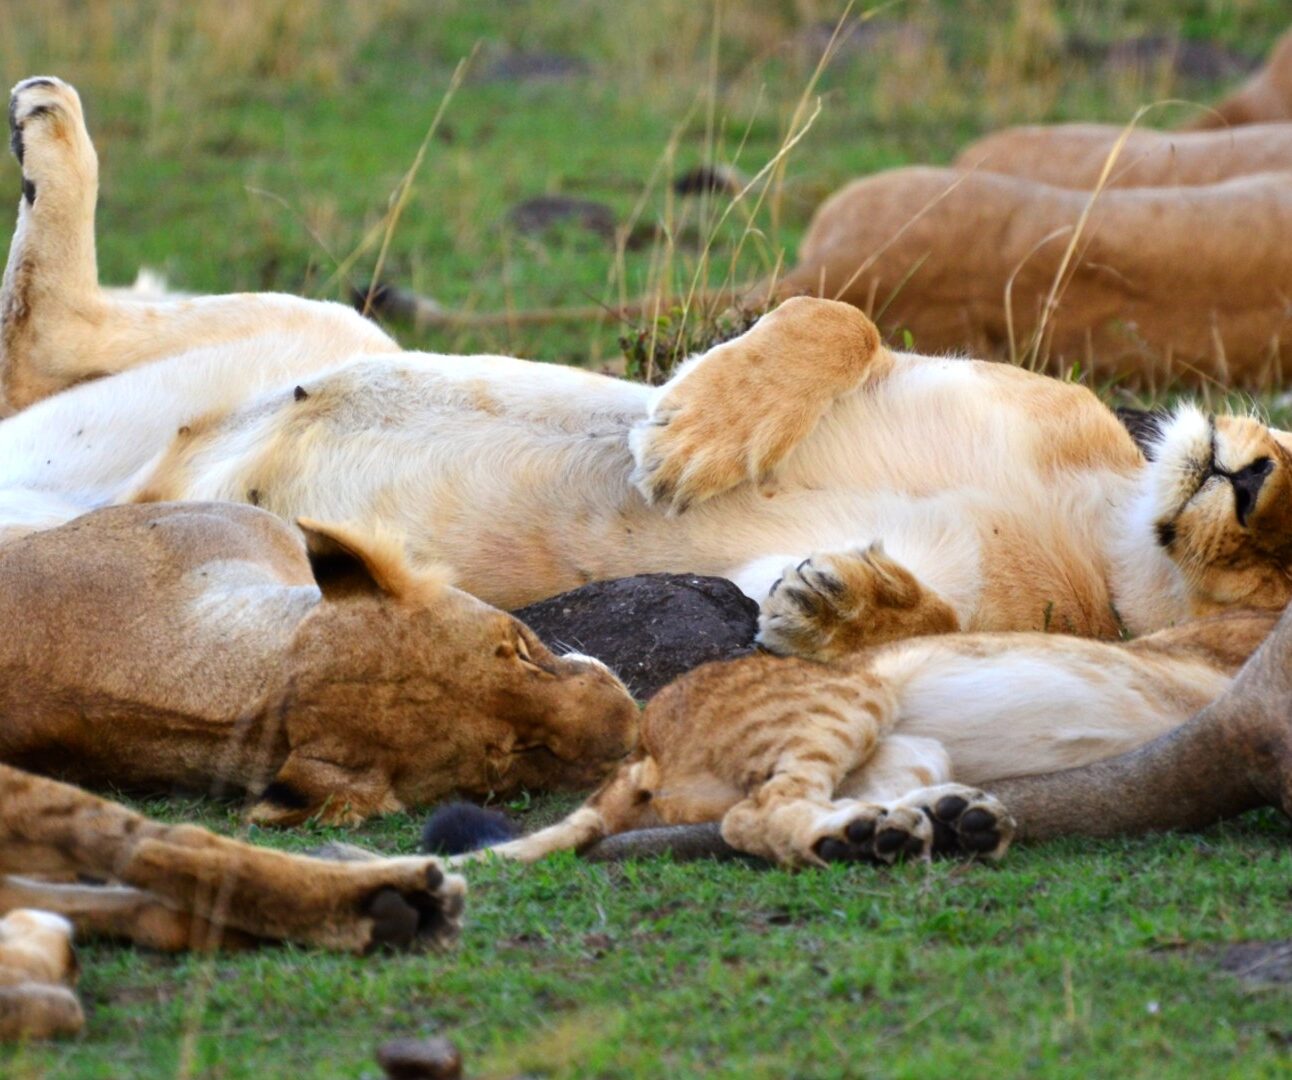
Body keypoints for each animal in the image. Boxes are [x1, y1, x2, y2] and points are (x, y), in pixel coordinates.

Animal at [5, 77, 1292, 661]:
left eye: (1279, 579)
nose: (1249, 485)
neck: (1100, 516)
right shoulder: (958, 371)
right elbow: (839, 318)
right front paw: (694, 435)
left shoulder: (999, 605)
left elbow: (919, 616)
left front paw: (847, 605)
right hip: (324, 329)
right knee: (44, 337)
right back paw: (48, 127)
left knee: (40, 352)